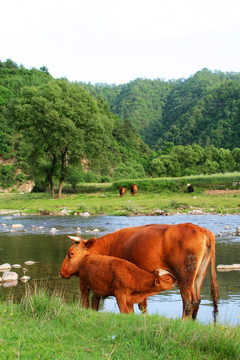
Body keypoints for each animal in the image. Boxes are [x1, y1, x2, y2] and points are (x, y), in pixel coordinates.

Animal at [59, 222, 219, 320]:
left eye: (71, 253)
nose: (61, 272)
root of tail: (200, 229)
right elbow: (142, 306)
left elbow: (139, 305)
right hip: (199, 275)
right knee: (197, 300)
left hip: (184, 276)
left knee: (188, 301)